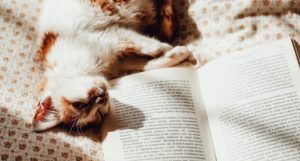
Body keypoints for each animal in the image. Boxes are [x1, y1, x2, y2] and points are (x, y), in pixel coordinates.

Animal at [32, 0, 192, 131]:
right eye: (99, 112)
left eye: (79, 105)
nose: (101, 97)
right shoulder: (121, 58)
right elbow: (147, 64)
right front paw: (177, 53)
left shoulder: (111, 36)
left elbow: (149, 47)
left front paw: (172, 48)